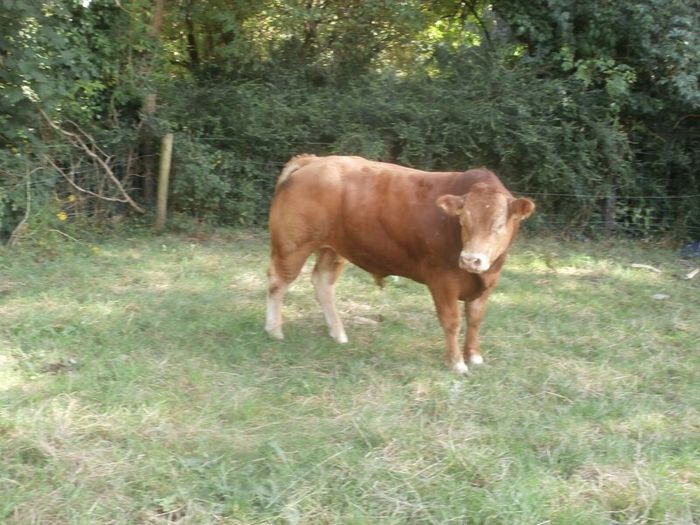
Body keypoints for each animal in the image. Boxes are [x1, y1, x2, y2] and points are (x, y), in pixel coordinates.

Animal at [264, 154, 534, 373]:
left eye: (498, 225)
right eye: (462, 221)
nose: (470, 259)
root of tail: (313, 160)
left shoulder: (489, 283)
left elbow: (475, 319)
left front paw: (475, 357)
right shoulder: (442, 280)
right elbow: (452, 321)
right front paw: (456, 362)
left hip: (333, 249)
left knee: (322, 283)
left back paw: (338, 333)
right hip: (292, 245)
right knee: (277, 283)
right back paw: (274, 330)